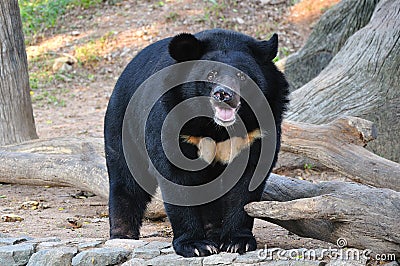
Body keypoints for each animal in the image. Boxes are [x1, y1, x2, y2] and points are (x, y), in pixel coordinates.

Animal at [104, 29, 290, 258]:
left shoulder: (257, 130)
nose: (223, 95)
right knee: (127, 180)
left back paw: (214, 234)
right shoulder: (172, 121)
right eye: (210, 75)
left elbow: (246, 184)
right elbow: (176, 176)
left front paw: (237, 242)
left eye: (241, 75)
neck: (217, 127)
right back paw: (123, 236)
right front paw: (195, 245)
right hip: (123, 124)